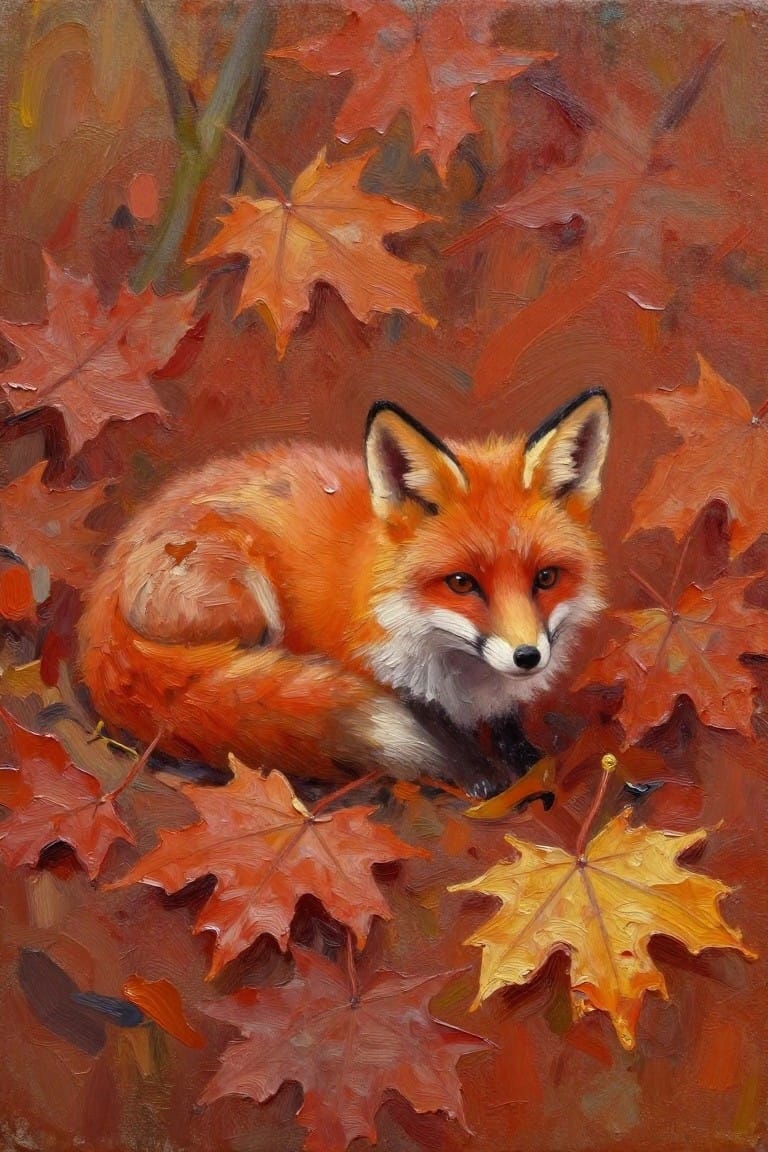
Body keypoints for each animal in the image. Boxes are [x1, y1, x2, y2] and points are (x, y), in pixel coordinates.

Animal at [78, 389, 610, 797]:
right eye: (462, 583)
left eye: (546, 578)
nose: (527, 657)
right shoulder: (386, 678)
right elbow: (434, 730)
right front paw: (477, 776)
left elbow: (507, 726)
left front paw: (528, 762)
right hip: (245, 605)